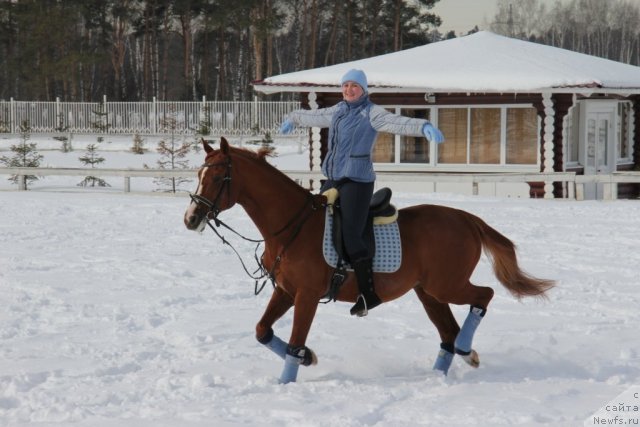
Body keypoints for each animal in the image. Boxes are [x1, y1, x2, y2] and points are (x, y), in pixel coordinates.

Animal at [185, 140, 556, 384]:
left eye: (217, 178)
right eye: (199, 174)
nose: (191, 219)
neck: (292, 225)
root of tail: (466, 219)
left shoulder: (307, 295)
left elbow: (293, 341)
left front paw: (288, 380)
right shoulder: (287, 291)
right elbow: (263, 331)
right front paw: (309, 358)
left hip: (445, 285)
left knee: (483, 297)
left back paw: (467, 350)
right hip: (428, 293)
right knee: (448, 334)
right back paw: (443, 372)